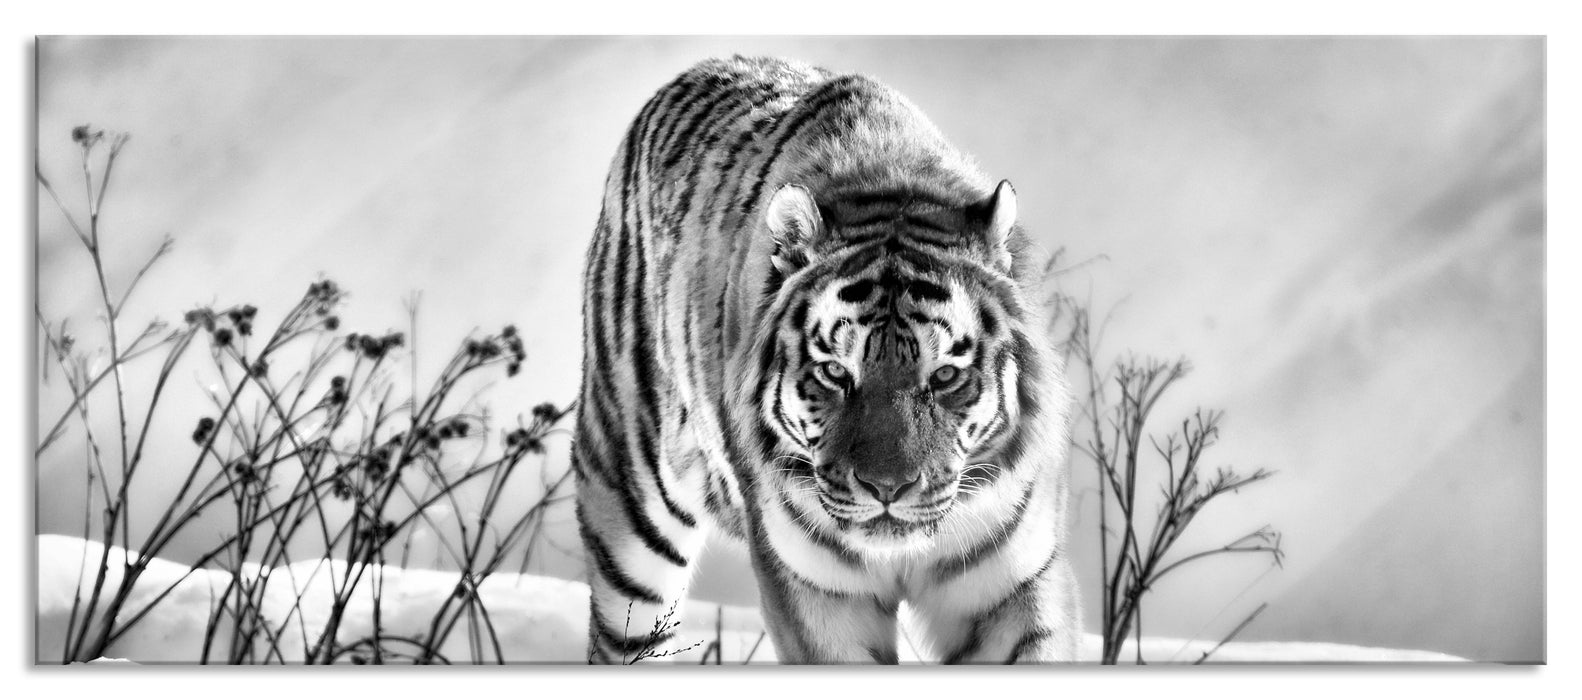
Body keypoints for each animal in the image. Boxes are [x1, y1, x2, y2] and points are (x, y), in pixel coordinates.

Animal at [572, 55, 1080, 664]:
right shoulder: (816, 593)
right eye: (836, 372)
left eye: (945, 376)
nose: (888, 490)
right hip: (630, 518)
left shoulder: (1014, 583)